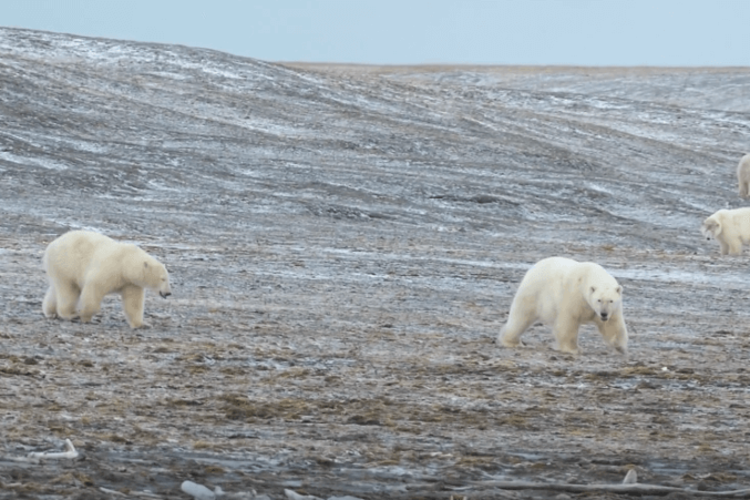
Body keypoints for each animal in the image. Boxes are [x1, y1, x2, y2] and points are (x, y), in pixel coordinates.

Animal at [42, 230, 171, 328]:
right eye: (163, 279)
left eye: (167, 278)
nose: (168, 293)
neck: (125, 263)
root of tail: (52, 245)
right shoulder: (110, 269)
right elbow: (94, 288)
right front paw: (86, 316)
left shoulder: (130, 283)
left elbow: (133, 302)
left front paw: (142, 324)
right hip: (67, 264)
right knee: (69, 290)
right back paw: (71, 314)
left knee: (56, 289)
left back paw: (51, 312)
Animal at [498, 256, 628, 356]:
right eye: (599, 300)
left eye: (611, 300)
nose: (603, 314)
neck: (588, 276)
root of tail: (534, 267)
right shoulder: (574, 297)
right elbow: (568, 321)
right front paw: (573, 349)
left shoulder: (612, 310)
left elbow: (612, 325)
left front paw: (619, 346)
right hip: (534, 292)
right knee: (521, 316)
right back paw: (512, 341)